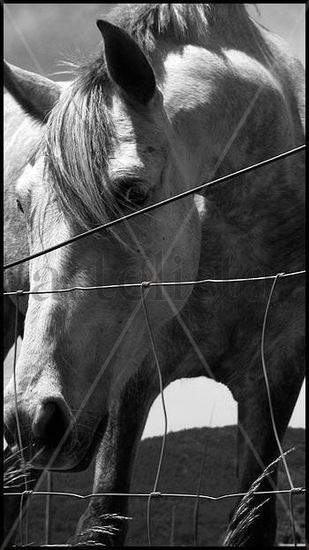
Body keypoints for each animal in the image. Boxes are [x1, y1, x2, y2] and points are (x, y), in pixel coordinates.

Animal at [4, 4, 304, 548]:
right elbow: (100, 518)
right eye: (22, 202)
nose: (32, 420)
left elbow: (254, 522)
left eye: (133, 193)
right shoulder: (134, 377)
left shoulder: (275, 377)